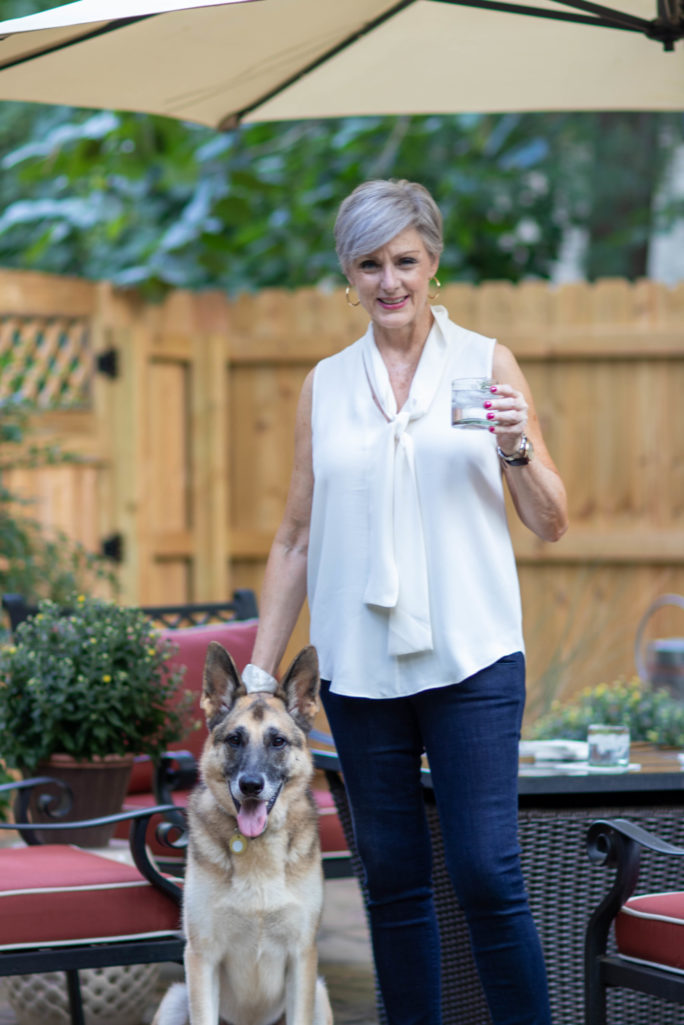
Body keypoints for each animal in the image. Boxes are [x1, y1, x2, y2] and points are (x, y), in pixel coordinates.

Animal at [155, 643, 336, 1025]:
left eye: (278, 741)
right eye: (235, 740)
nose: (251, 785)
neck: (257, 848)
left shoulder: (302, 958)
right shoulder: (202, 957)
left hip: (320, 995)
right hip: (175, 999)